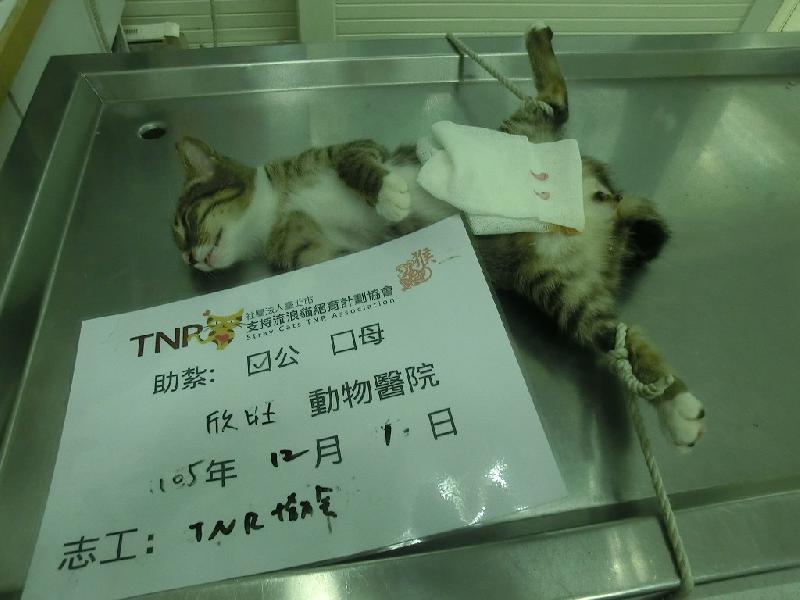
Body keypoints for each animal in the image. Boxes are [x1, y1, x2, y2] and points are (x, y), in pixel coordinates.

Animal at [171, 24, 705, 447]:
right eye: (181, 242)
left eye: (186, 223)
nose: (191, 260)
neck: (278, 208)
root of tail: (599, 202)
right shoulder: (320, 251)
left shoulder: (352, 148)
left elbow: (359, 165)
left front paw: (389, 194)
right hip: (562, 287)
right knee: (621, 335)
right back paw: (676, 408)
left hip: (522, 132)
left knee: (554, 102)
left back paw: (537, 36)